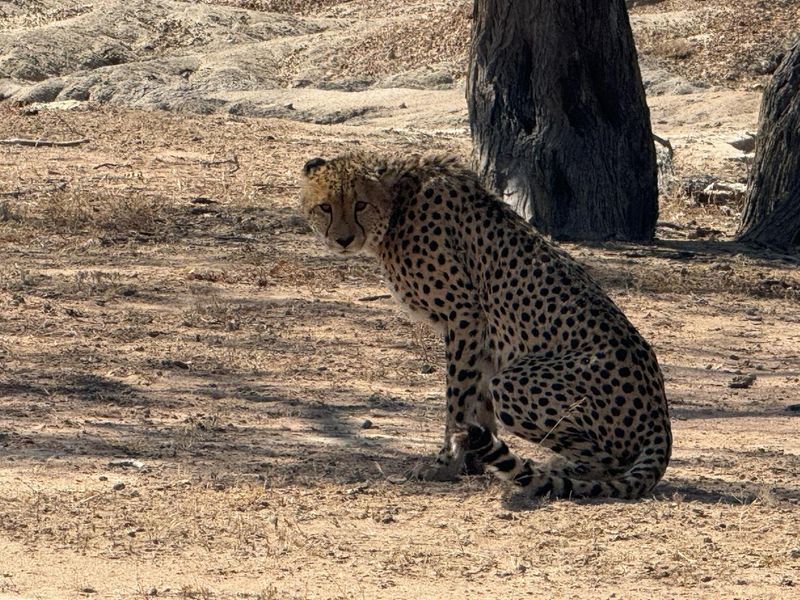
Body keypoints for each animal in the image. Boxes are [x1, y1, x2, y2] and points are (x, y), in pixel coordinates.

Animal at [299, 152, 671, 499]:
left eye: (360, 204)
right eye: (325, 207)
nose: (343, 240)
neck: (399, 202)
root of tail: (662, 421)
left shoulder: (464, 315)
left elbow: (457, 400)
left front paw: (446, 464)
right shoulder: (481, 337)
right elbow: (476, 399)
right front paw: (476, 459)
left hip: (516, 382)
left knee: (608, 459)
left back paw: (553, 470)